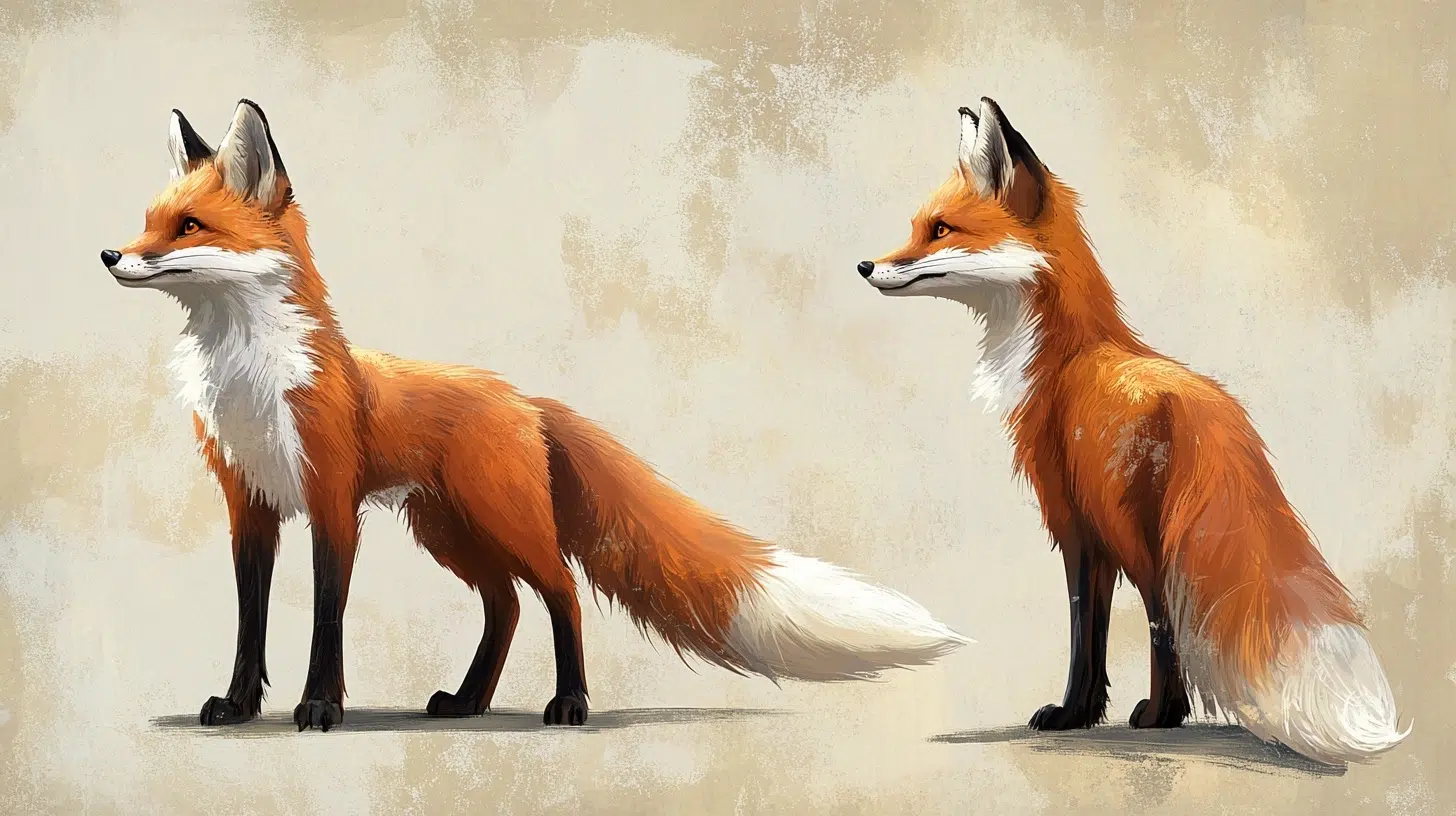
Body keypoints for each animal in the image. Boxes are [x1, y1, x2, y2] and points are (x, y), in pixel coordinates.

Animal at [99, 99, 969, 732]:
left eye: (188, 227)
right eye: (147, 220)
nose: (110, 256)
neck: (248, 379)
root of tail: (524, 396)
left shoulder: (330, 502)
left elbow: (324, 621)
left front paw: (318, 708)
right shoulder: (249, 504)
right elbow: (250, 623)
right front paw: (240, 705)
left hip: (497, 518)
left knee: (560, 592)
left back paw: (570, 705)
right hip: (451, 528)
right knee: (507, 604)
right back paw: (467, 701)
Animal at [855, 96, 1410, 766]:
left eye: (940, 230)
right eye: (917, 228)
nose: (865, 265)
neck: (1064, 359)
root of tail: (1214, 408)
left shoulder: (1074, 522)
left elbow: (1084, 633)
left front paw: (1071, 715)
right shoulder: (1090, 533)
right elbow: (1093, 634)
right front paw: (1087, 713)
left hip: (1140, 535)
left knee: (1162, 618)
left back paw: (1161, 716)